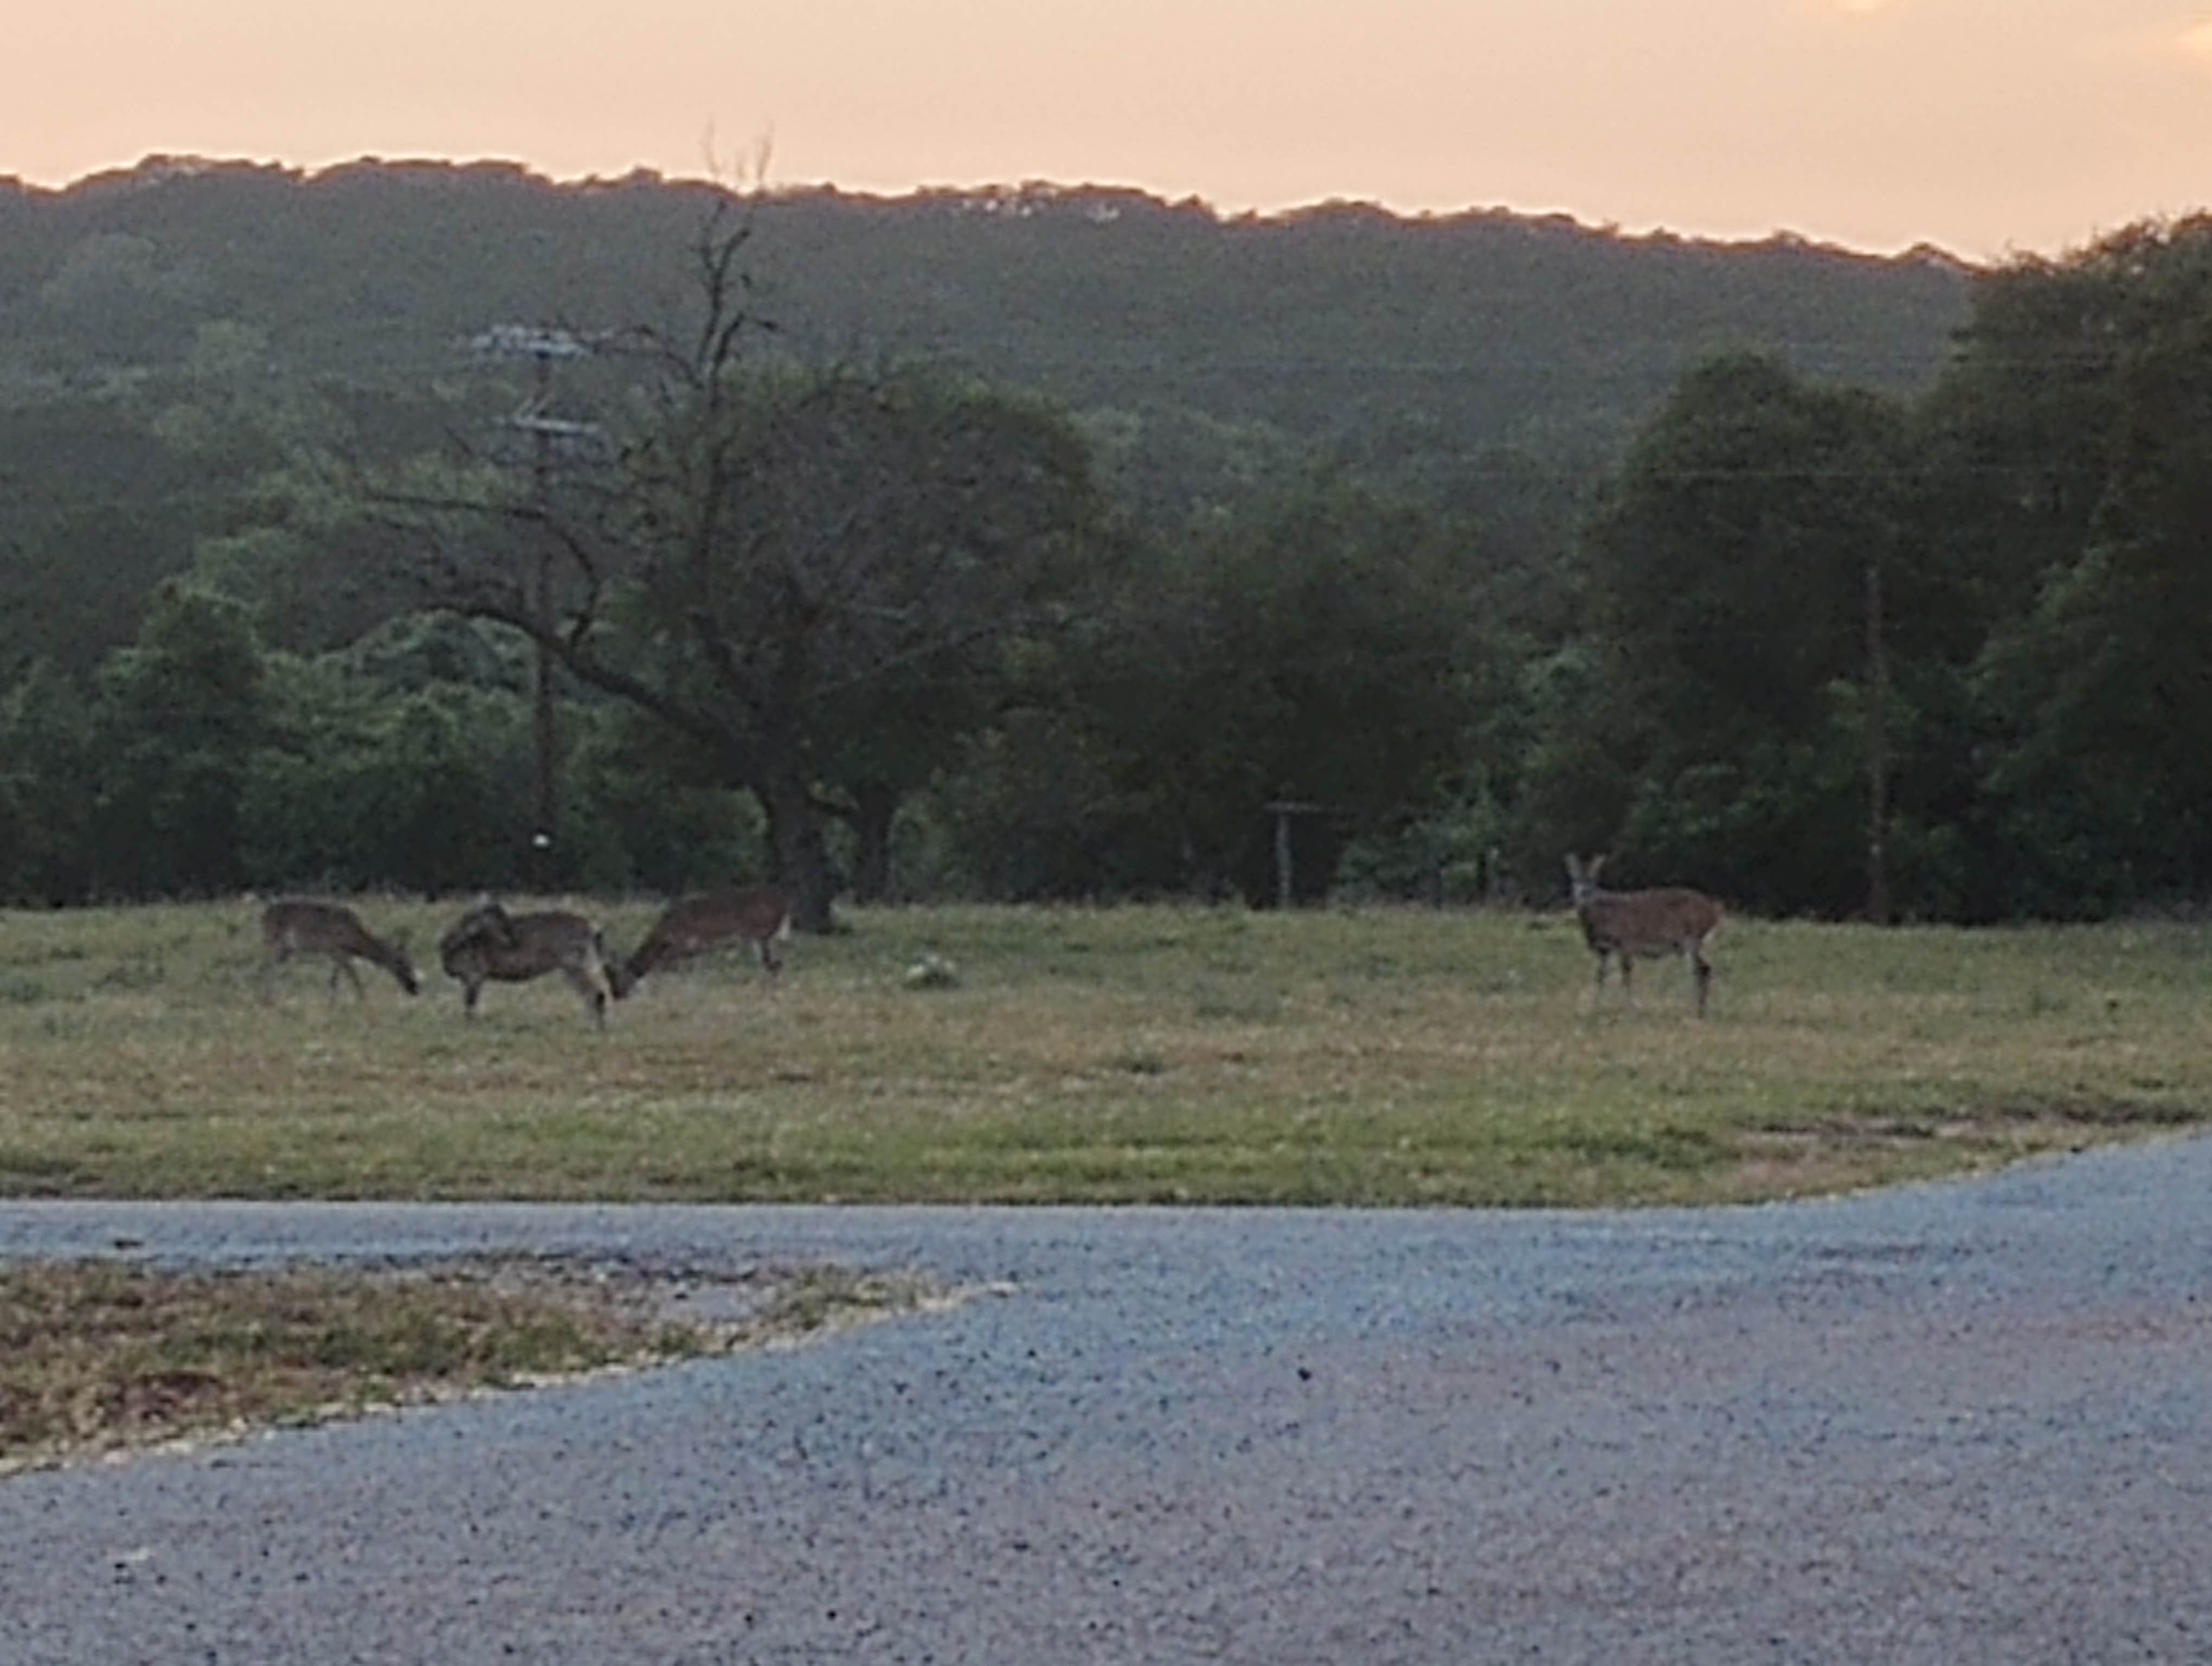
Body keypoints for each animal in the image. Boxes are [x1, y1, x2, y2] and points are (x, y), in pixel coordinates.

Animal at [261, 898, 420, 1000]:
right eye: (405, 966)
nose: (415, 989)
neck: (355, 941)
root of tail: (264, 916)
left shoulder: (339, 954)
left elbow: (334, 981)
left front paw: (333, 1003)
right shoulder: (337, 950)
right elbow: (353, 978)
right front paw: (363, 1000)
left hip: (286, 949)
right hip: (275, 941)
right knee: (267, 968)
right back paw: (268, 998)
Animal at [438, 898, 619, 1026]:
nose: (511, 940)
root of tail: (593, 929)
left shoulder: (474, 977)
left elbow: (470, 1005)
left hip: (574, 967)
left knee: (596, 994)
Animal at [606, 885, 796, 1000]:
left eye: (618, 978)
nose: (617, 995)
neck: (665, 932)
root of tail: (785, 903)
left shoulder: (684, 944)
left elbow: (668, 966)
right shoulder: (695, 949)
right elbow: (692, 970)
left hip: (762, 934)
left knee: (774, 965)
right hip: (765, 937)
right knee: (777, 964)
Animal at [1557, 858, 1725, 1013]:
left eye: (1593, 880)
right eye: (1575, 879)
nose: (1584, 892)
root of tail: (1713, 912)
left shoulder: (1625, 943)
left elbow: (1626, 976)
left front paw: (1631, 1007)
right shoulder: (1605, 950)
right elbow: (1601, 976)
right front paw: (1596, 1006)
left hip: (1692, 938)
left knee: (1702, 970)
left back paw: (1698, 1010)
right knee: (1703, 970)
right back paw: (1700, 1009)